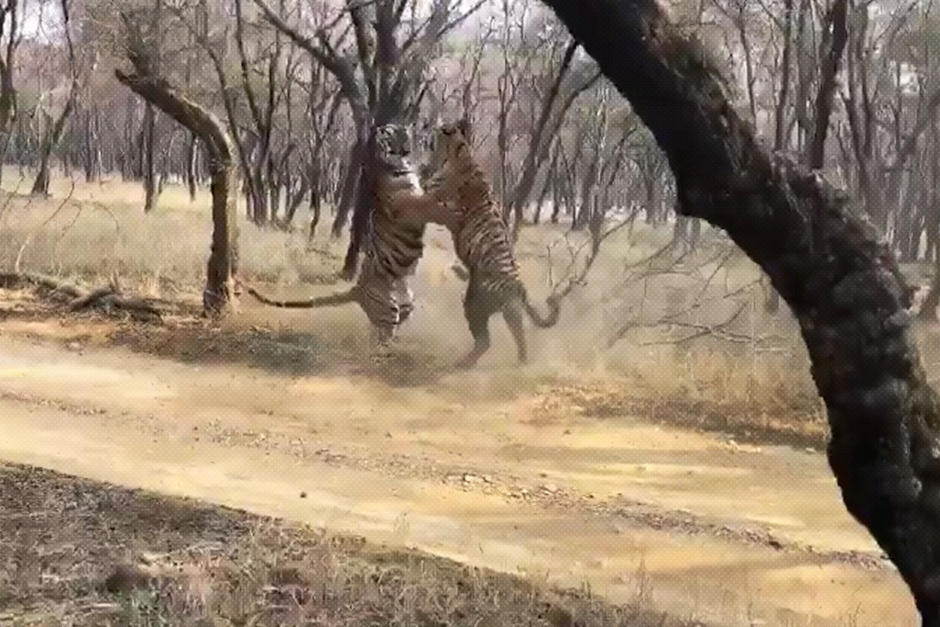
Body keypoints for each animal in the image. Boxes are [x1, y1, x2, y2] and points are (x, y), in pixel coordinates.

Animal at [244, 122, 454, 358]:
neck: (397, 163)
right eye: (389, 131)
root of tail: (357, 290)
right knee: (380, 338)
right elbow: (430, 203)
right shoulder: (410, 203)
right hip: (389, 309)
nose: (385, 129)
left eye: (394, 129)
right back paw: (386, 352)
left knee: (386, 327)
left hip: (407, 304)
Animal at [420, 118, 560, 368]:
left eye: (438, 130)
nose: (426, 125)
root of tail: (519, 286)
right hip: (496, 307)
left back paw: (471, 364)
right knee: (507, 337)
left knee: (490, 340)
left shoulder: (438, 198)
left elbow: (426, 183)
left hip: (477, 305)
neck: (459, 152)